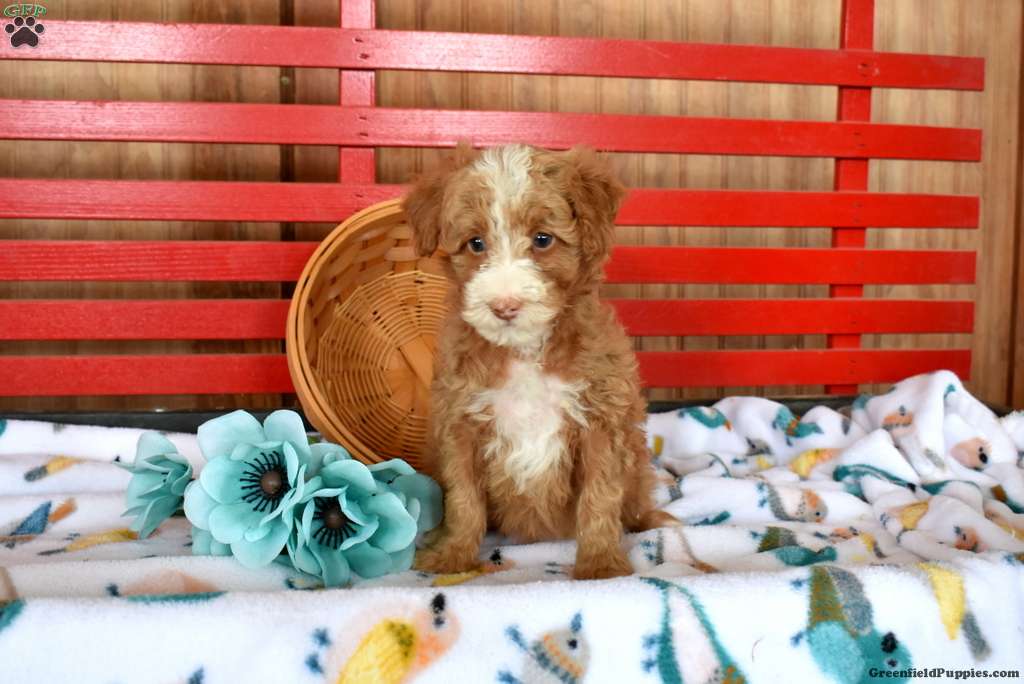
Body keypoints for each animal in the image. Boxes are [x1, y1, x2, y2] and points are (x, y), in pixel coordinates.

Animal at [403, 143, 676, 580]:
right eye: (475, 244)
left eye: (543, 239)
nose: (504, 306)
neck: (524, 349)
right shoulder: (461, 423)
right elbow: (463, 498)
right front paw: (454, 555)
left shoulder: (602, 421)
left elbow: (600, 496)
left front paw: (600, 564)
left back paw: (647, 521)